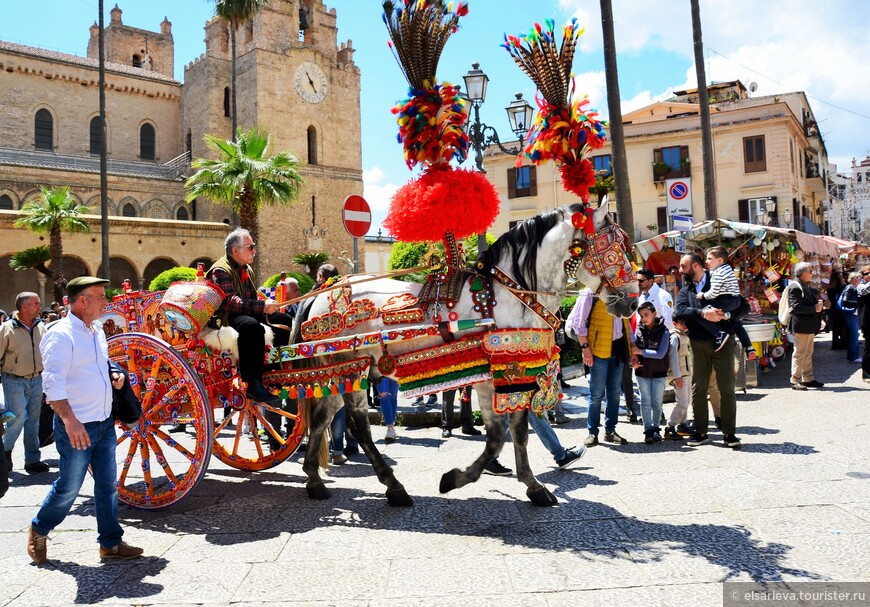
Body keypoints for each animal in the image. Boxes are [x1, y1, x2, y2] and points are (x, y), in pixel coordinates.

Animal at [292, 204, 640, 508]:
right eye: (614, 249)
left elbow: (518, 433)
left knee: (322, 417)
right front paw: (456, 479)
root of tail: (325, 291)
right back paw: (393, 486)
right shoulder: (494, 375)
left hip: (343, 372)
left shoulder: (514, 373)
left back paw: (314, 479)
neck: (509, 294)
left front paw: (533, 486)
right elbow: (498, 436)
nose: (633, 302)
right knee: (359, 425)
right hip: (355, 370)